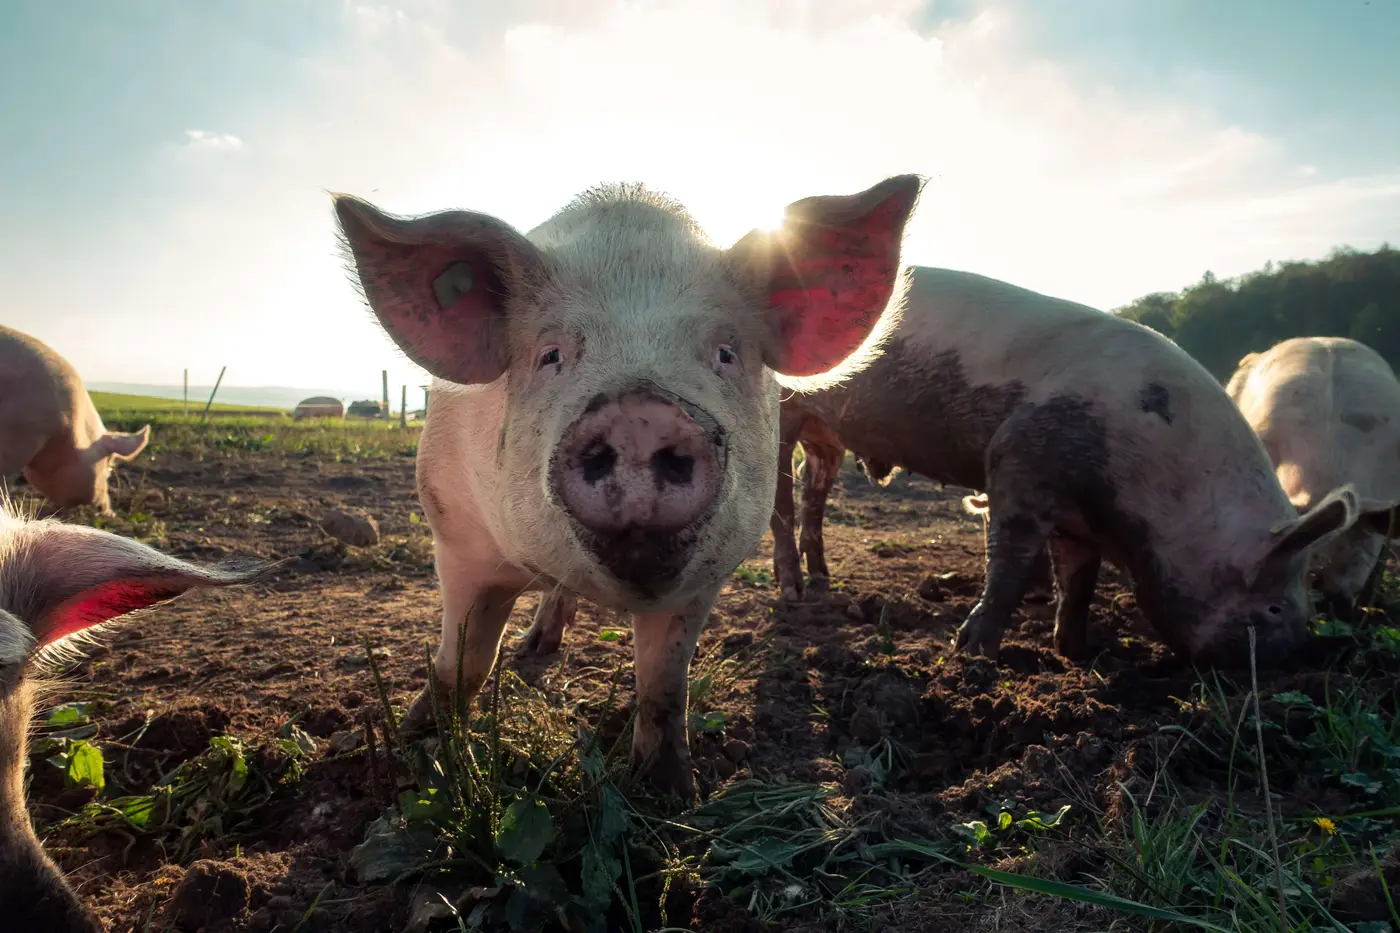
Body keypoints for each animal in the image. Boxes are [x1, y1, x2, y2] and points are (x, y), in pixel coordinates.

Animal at [333, 175, 923, 796]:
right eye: (551, 354)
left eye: (725, 352)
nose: (641, 413)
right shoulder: (455, 534)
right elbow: (463, 662)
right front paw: (418, 749)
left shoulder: (708, 576)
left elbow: (663, 685)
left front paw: (670, 793)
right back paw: (533, 649)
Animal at [760, 266, 1361, 666]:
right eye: (1276, 607)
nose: (1303, 658)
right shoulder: (1018, 462)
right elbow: (1010, 562)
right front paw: (972, 653)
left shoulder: (1079, 520)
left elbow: (1079, 581)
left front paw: (1076, 653)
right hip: (783, 414)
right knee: (781, 504)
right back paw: (792, 592)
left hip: (827, 437)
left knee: (813, 493)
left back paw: (823, 581)